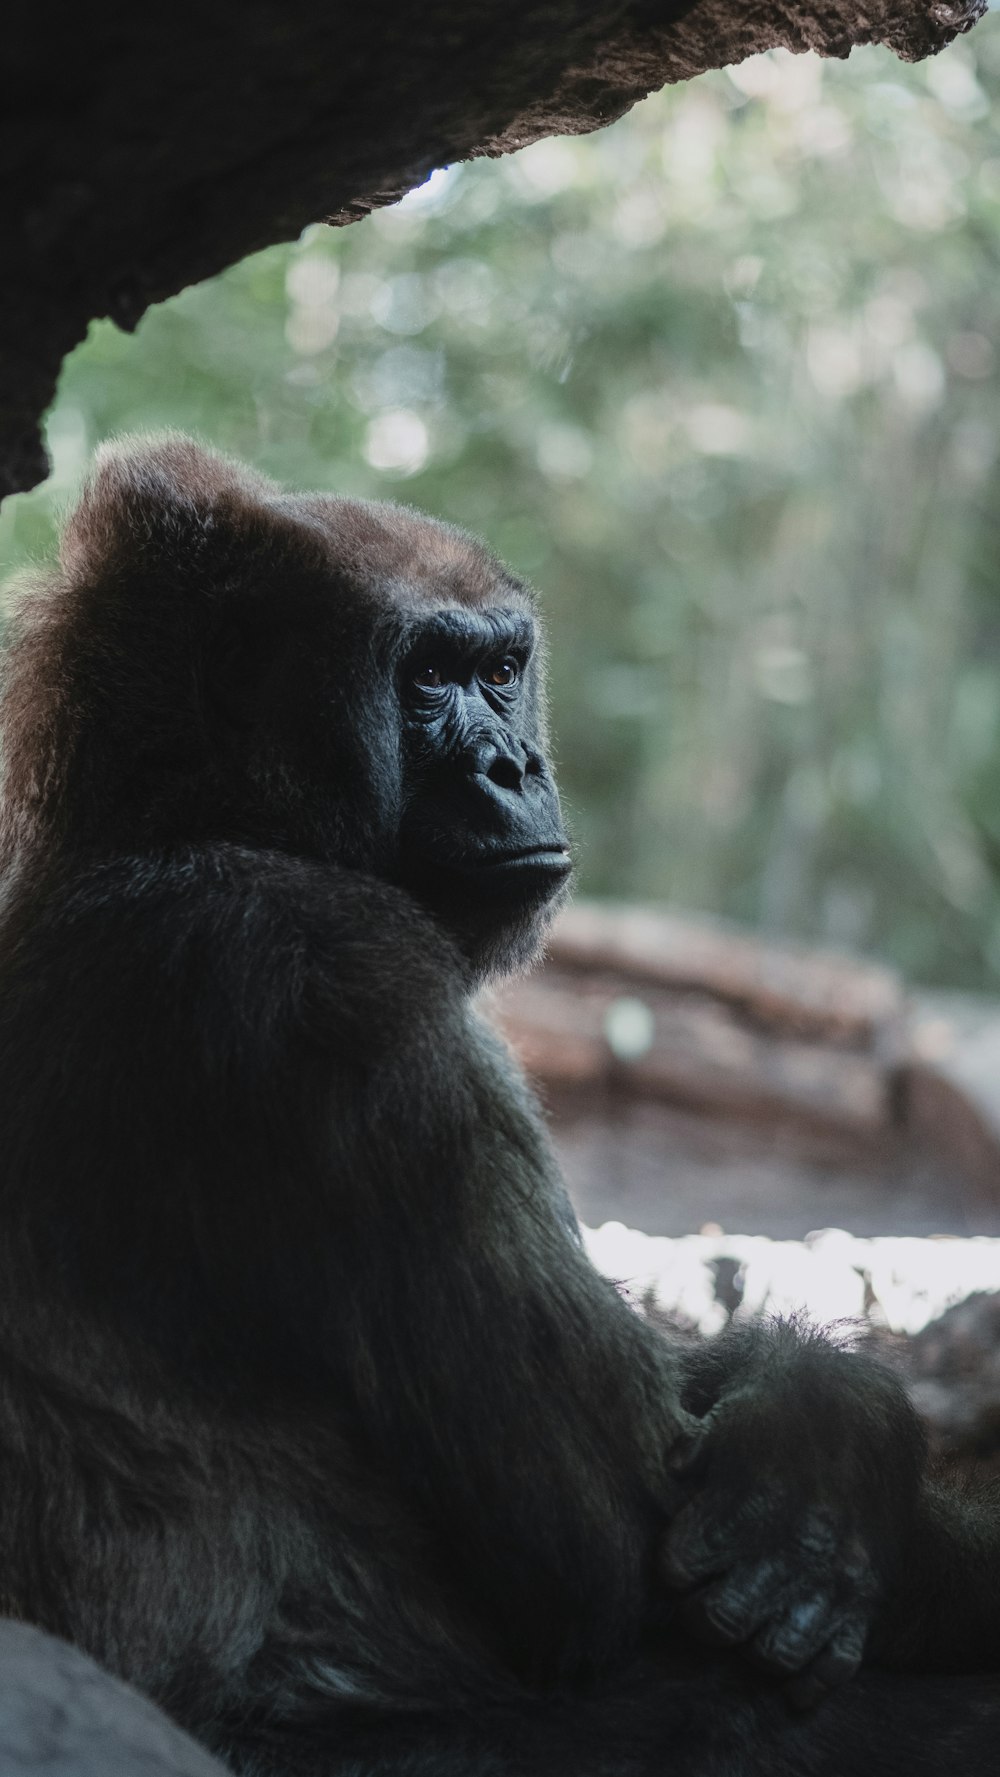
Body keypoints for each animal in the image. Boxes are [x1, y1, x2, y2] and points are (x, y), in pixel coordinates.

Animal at [0, 433, 1000, 1777]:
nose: (513, 765)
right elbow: (611, 1543)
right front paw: (836, 1444)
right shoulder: (337, 976)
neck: (166, 819)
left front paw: (811, 1423)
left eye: (502, 669)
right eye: (427, 677)